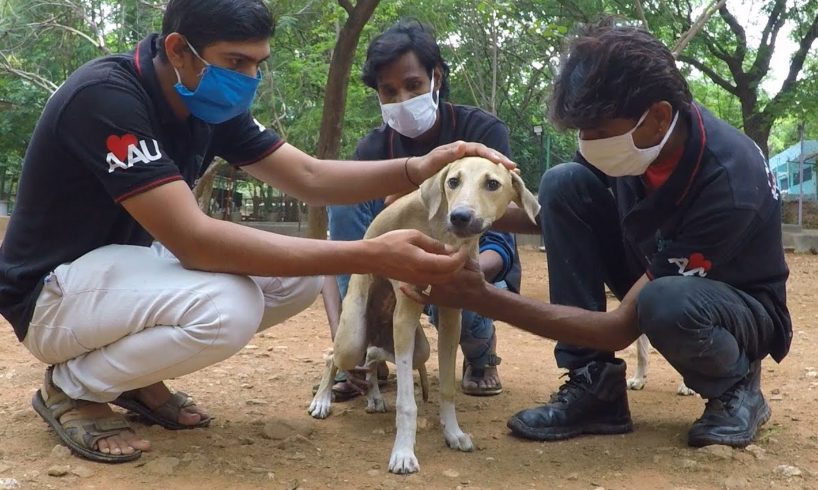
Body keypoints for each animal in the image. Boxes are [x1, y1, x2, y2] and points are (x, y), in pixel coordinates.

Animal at [310, 155, 540, 472]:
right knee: (334, 356)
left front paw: (453, 433)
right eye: (453, 181)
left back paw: (374, 397)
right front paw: (403, 453)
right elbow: (407, 403)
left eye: (492, 184)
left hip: (419, 348)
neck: (442, 234)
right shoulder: (405, 315)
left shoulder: (452, 315)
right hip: (352, 338)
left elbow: (447, 388)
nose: (460, 216)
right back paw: (323, 400)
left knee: (372, 358)